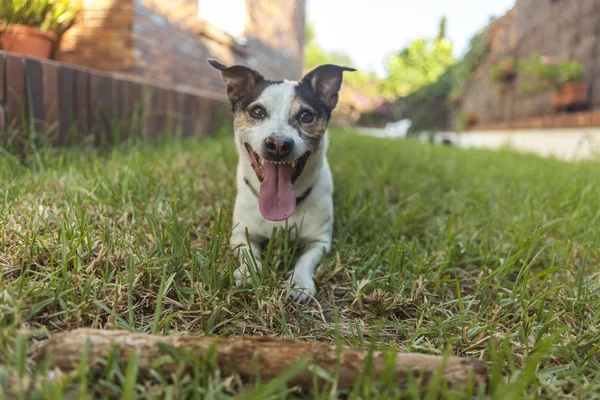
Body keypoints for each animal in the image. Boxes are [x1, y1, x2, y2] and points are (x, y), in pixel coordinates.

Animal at [209, 58, 354, 304]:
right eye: (257, 111)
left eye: (306, 115)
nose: (277, 144)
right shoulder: (240, 234)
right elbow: (248, 251)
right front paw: (247, 274)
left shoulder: (320, 241)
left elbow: (306, 259)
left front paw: (300, 282)